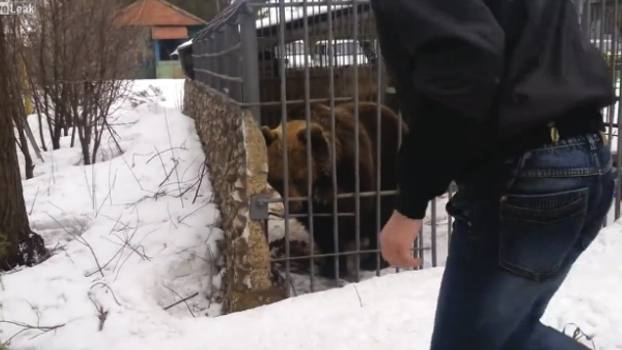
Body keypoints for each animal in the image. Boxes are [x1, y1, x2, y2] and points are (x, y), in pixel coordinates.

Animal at [260, 101, 408, 278]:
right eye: (278, 180)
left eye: (299, 178)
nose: (293, 206)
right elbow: (324, 232)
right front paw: (332, 267)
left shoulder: (355, 162)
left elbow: (354, 205)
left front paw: (323, 195)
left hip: (390, 164)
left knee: (383, 215)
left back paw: (375, 260)